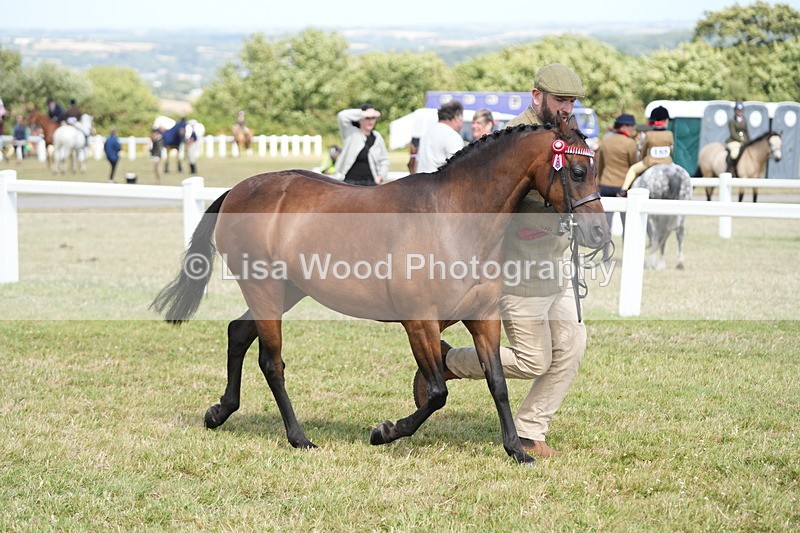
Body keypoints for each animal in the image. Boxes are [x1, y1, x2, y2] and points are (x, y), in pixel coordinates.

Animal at [151, 119, 611, 464]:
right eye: (577, 171)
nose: (599, 234)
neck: (453, 219)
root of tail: (238, 190)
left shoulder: (483, 318)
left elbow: (497, 381)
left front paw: (517, 450)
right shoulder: (419, 322)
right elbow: (437, 393)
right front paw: (385, 431)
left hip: (288, 290)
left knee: (238, 333)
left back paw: (219, 412)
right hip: (263, 287)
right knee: (271, 362)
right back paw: (299, 438)